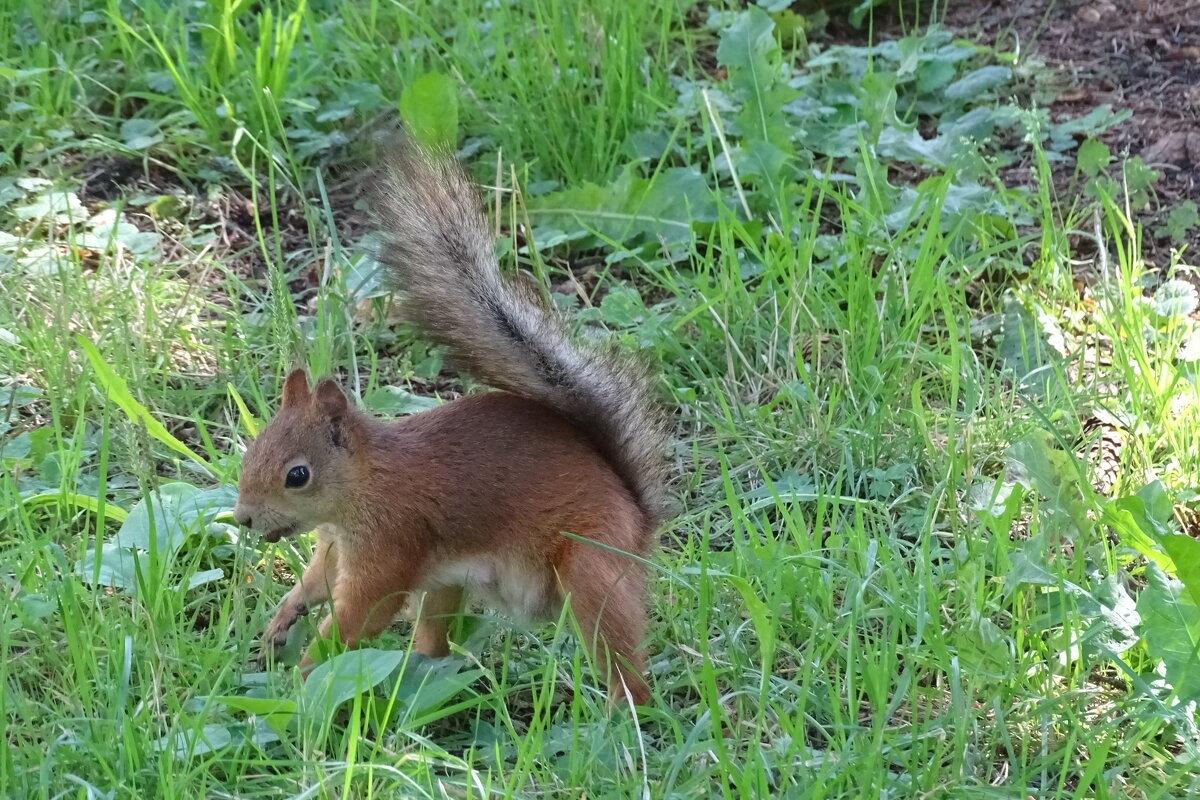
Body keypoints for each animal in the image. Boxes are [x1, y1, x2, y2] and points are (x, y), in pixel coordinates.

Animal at [229, 137, 672, 705]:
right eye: (253, 450)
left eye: (297, 475)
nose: (243, 518)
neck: (364, 485)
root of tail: (639, 521)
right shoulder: (334, 546)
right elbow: (315, 583)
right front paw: (282, 621)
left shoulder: (391, 537)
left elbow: (361, 613)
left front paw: (304, 681)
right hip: (445, 585)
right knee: (435, 644)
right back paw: (421, 678)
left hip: (591, 569)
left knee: (618, 652)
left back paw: (624, 711)